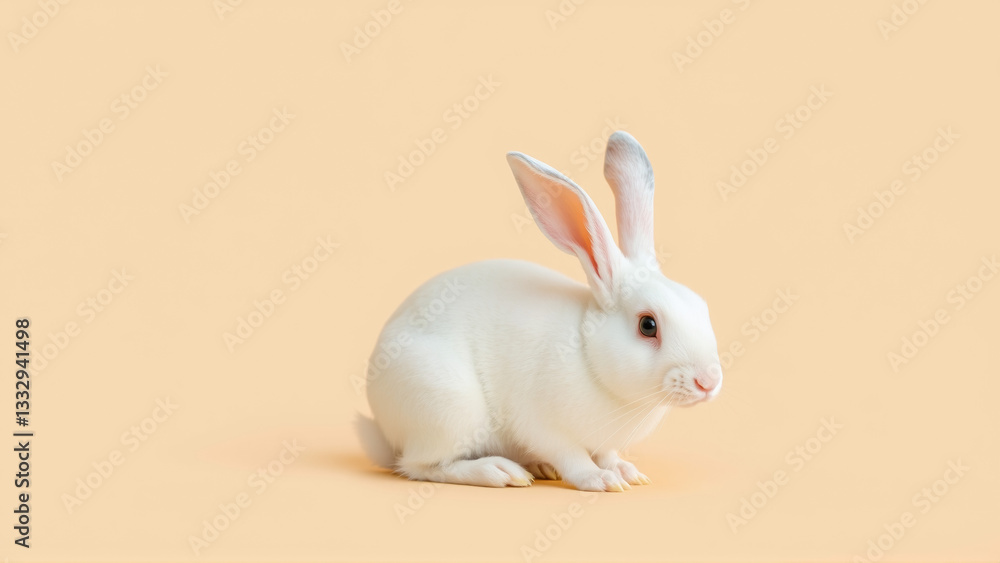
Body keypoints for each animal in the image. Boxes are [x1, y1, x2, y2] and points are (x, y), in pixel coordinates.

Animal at [356, 131, 723, 492]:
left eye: (701, 306)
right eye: (648, 325)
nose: (708, 382)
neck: (589, 356)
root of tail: (385, 430)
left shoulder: (602, 442)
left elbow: (607, 453)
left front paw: (627, 472)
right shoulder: (542, 425)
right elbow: (572, 456)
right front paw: (601, 480)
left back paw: (538, 467)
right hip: (448, 409)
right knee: (422, 466)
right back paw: (501, 472)